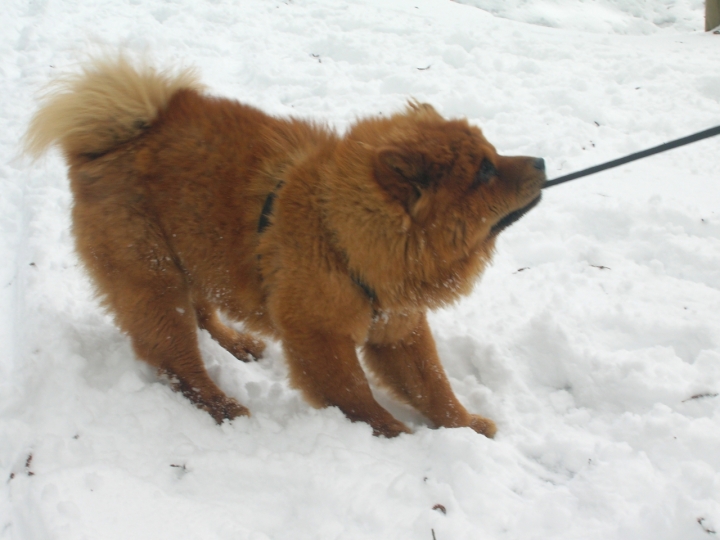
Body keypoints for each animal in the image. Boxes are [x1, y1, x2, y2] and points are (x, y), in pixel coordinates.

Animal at [26, 58, 544, 438]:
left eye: (493, 153)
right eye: (484, 171)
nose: (540, 161)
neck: (337, 226)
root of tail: (108, 141)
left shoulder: (398, 327)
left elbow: (434, 388)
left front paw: (467, 427)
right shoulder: (319, 336)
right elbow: (357, 395)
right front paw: (397, 436)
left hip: (192, 254)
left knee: (201, 312)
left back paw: (237, 343)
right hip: (153, 278)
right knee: (178, 362)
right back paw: (224, 407)